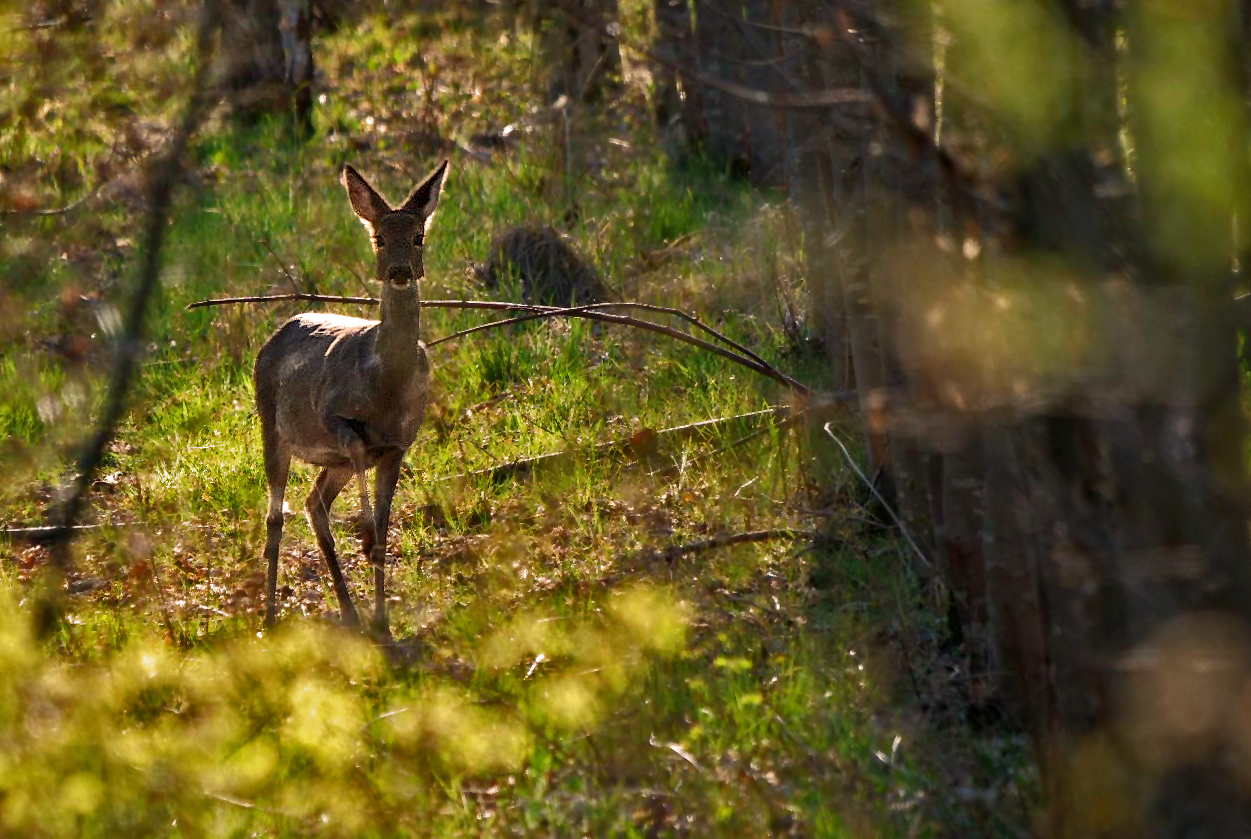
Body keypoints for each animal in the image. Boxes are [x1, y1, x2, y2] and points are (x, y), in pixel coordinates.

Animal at [253, 157, 450, 632]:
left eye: (418, 236)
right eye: (378, 237)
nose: (399, 271)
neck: (385, 386)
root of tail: (273, 337)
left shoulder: (398, 444)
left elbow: (383, 531)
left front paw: (382, 618)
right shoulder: (337, 421)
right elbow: (366, 494)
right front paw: (363, 533)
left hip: (328, 460)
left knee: (313, 504)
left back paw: (350, 612)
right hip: (272, 425)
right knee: (276, 515)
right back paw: (270, 614)